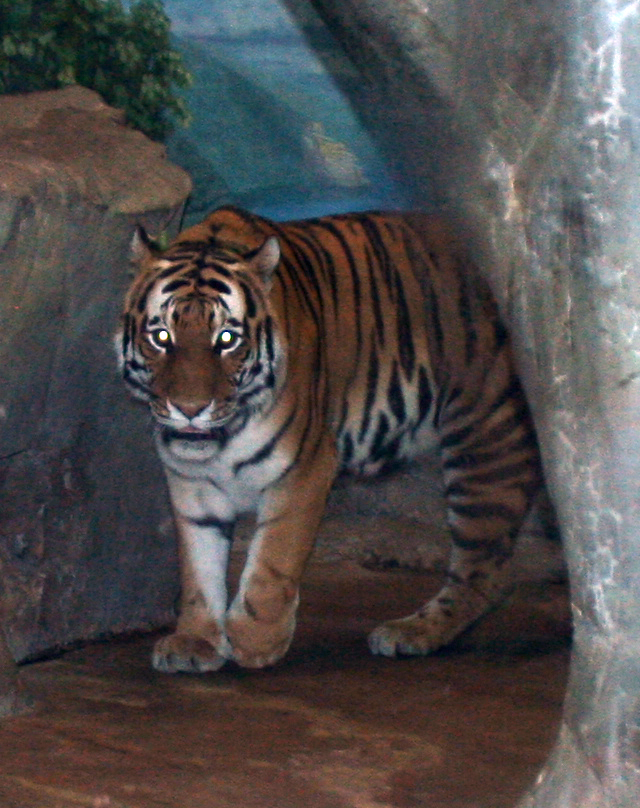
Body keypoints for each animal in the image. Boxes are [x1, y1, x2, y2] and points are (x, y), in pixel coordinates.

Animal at [114, 205, 540, 672]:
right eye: (161, 337)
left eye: (226, 339)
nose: (190, 409)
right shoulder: (192, 484)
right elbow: (198, 568)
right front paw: (196, 642)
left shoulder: (304, 467)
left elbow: (273, 561)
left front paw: (255, 640)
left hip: (484, 442)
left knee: (486, 572)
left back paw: (412, 632)